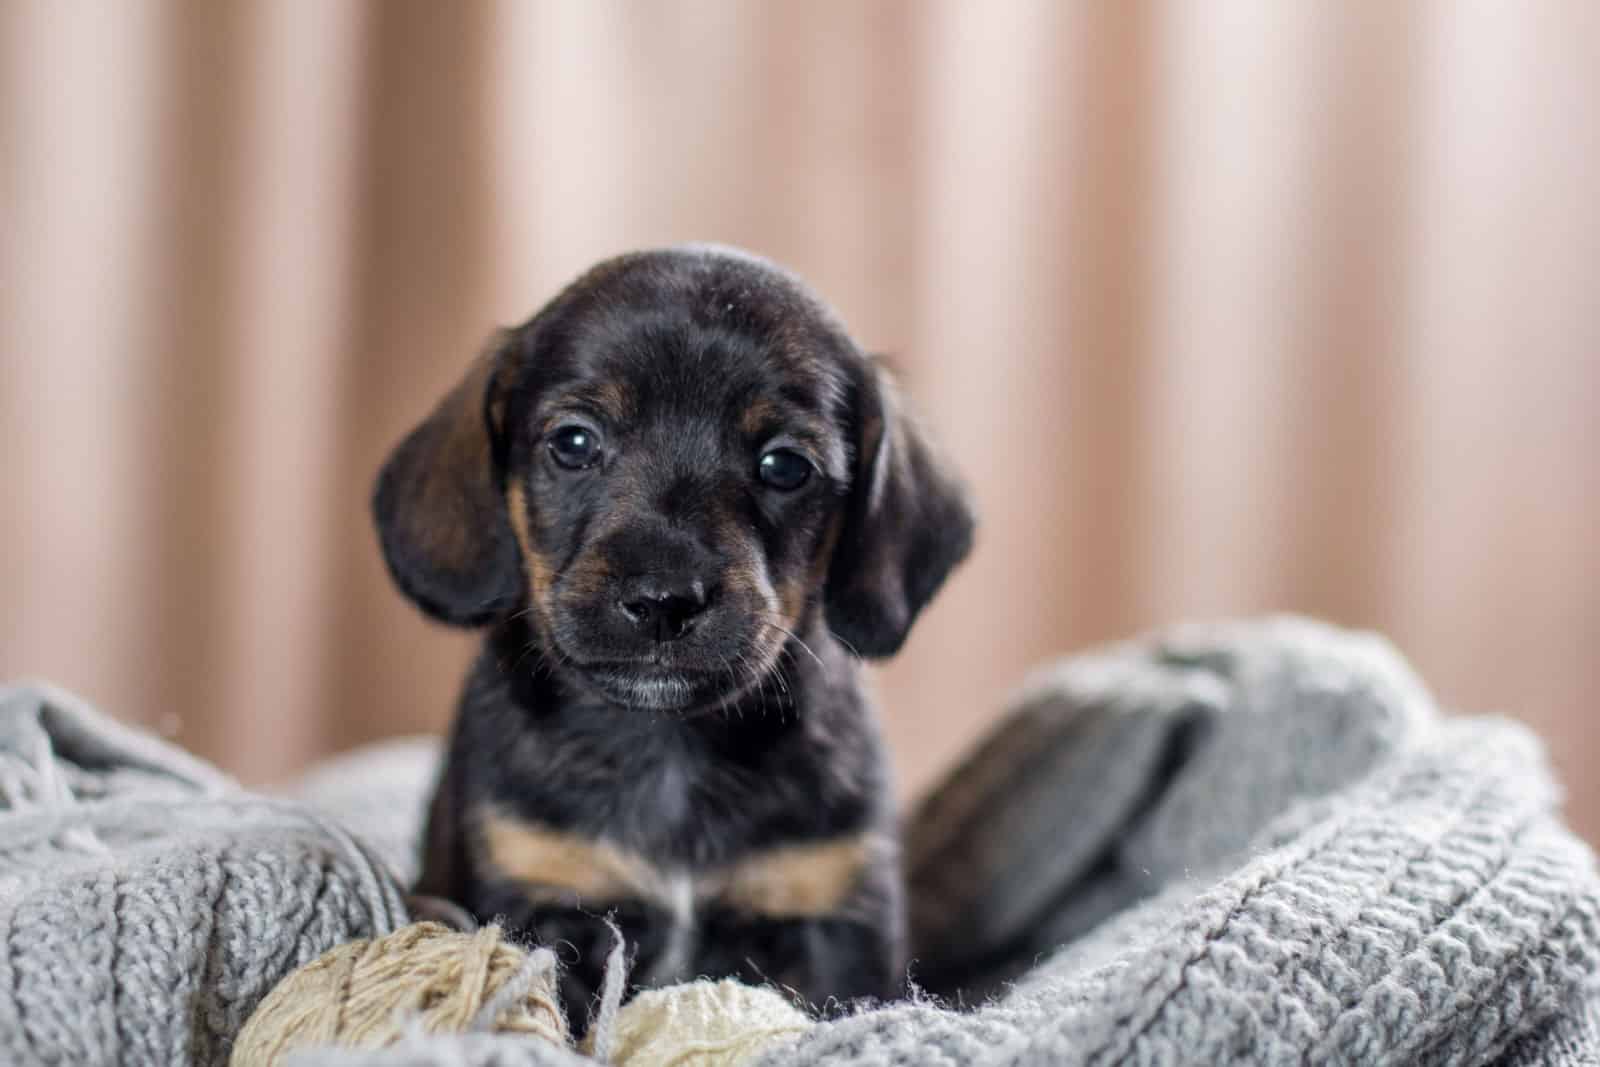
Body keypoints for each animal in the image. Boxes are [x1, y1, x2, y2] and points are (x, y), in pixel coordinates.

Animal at [374, 244, 972, 1023]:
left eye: (786, 465)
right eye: (574, 442)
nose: (663, 601)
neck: (669, 747)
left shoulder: (834, 915)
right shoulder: (539, 894)